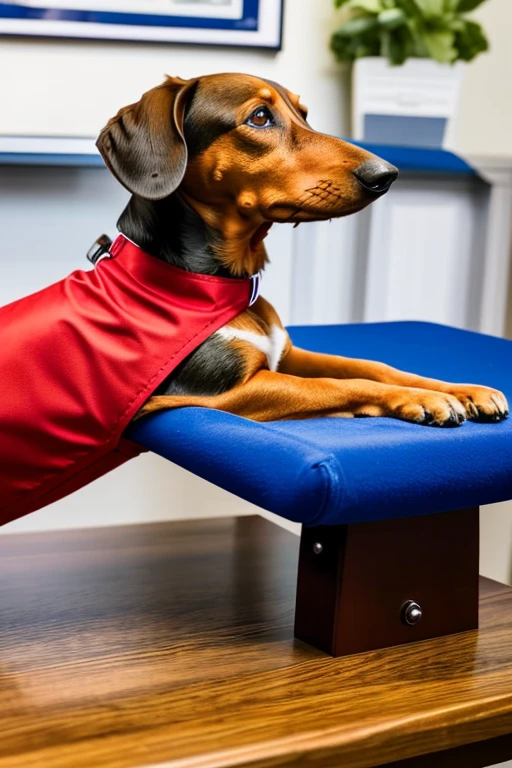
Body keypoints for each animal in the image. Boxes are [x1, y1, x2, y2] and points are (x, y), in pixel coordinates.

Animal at [97, 71, 508, 426]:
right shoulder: (221, 391)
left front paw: (461, 389)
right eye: (260, 117)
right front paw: (423, 398)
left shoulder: (288, 356)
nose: (387, 174)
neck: (220, 283)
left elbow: (372, 366)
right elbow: (342, 383)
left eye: (305, 114)